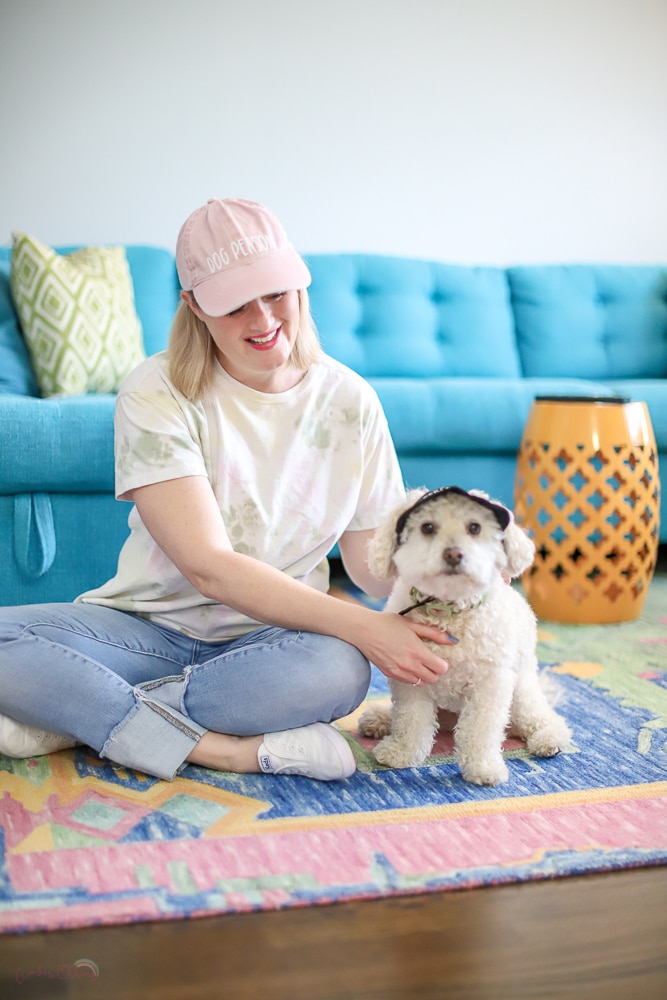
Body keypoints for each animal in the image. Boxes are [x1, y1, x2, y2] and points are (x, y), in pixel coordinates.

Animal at [360, 488, 576, 784]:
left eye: (475, 527)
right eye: (428, 527)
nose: (454, 554)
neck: (450, 612)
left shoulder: (490, 685)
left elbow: (481, 730)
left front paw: (483, 767)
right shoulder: (411, 679)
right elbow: (410, 721)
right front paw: (401, 752)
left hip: (521, 691)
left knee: (540, 717)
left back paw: (549, 738)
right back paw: (379, 719)